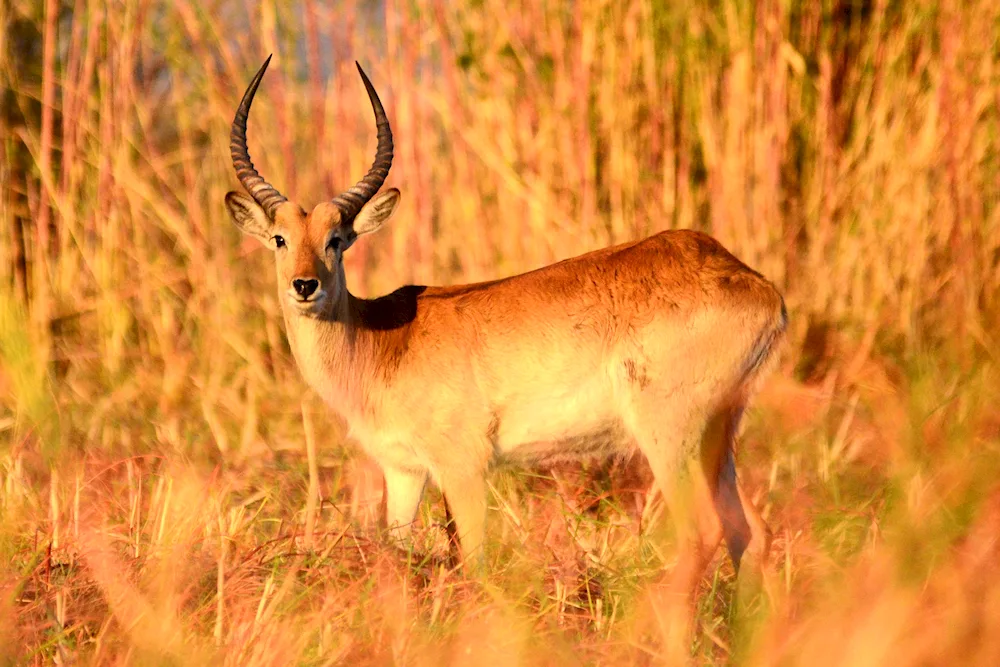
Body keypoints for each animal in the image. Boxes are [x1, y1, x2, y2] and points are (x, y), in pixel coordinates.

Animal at [223, 57, 784, 596]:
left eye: (337, 238)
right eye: (279, 238)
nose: (305, 285)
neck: (383, 341)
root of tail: (758, 285)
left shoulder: (463, 466)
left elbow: (475, 563)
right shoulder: (403, 470)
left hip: (669, 433)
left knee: (704, 532)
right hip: (717, 436)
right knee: (751, 534)